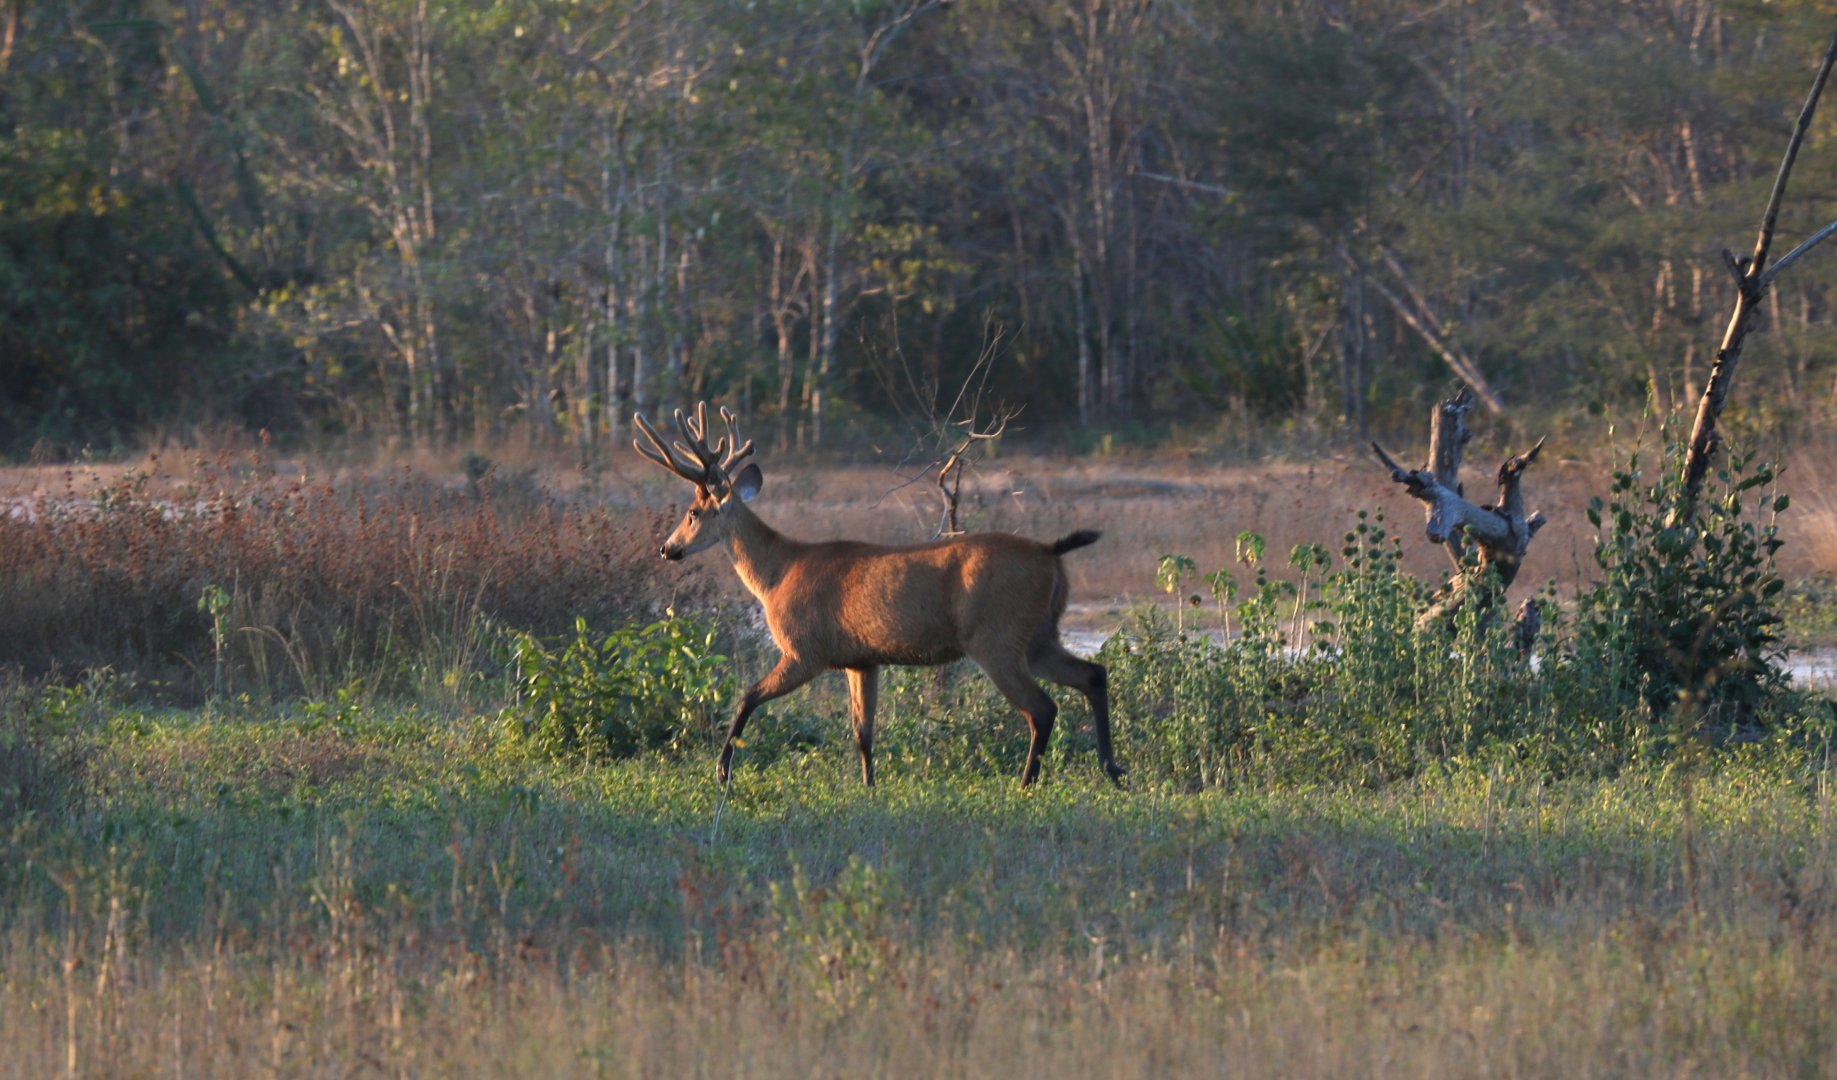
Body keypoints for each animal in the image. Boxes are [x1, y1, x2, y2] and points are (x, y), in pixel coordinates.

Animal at [632, 402, 1124, 789]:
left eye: (693, 512)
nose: (667, 549)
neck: (776, 575)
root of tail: (1049, 553)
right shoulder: (861, 659)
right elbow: (862, 732)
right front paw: (869, 785)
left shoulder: (805, 649)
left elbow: (747, 696)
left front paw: (722, 771)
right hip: (1039, 633)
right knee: (1093, 674)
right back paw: (1112, 771)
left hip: (995, 635)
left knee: (1042, 708)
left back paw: (1028, 782)